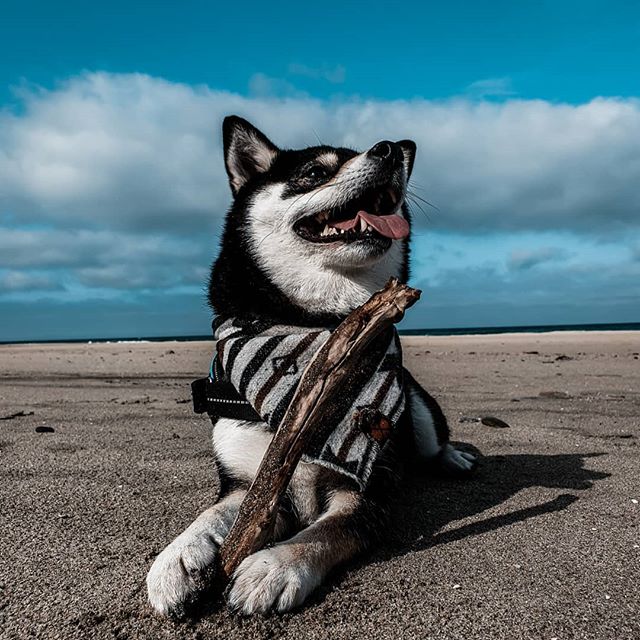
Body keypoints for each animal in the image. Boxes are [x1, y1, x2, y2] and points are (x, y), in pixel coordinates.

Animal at [146, 117, 476, 616]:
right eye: (314, 173)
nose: (388, 149)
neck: (315, 324)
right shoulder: (247, 485)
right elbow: (210, 515)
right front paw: (178, 557)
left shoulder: (367, 492)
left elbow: (325, 531)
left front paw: (274, 567)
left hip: (417, 406)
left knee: (432, 440)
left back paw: (453, 457)